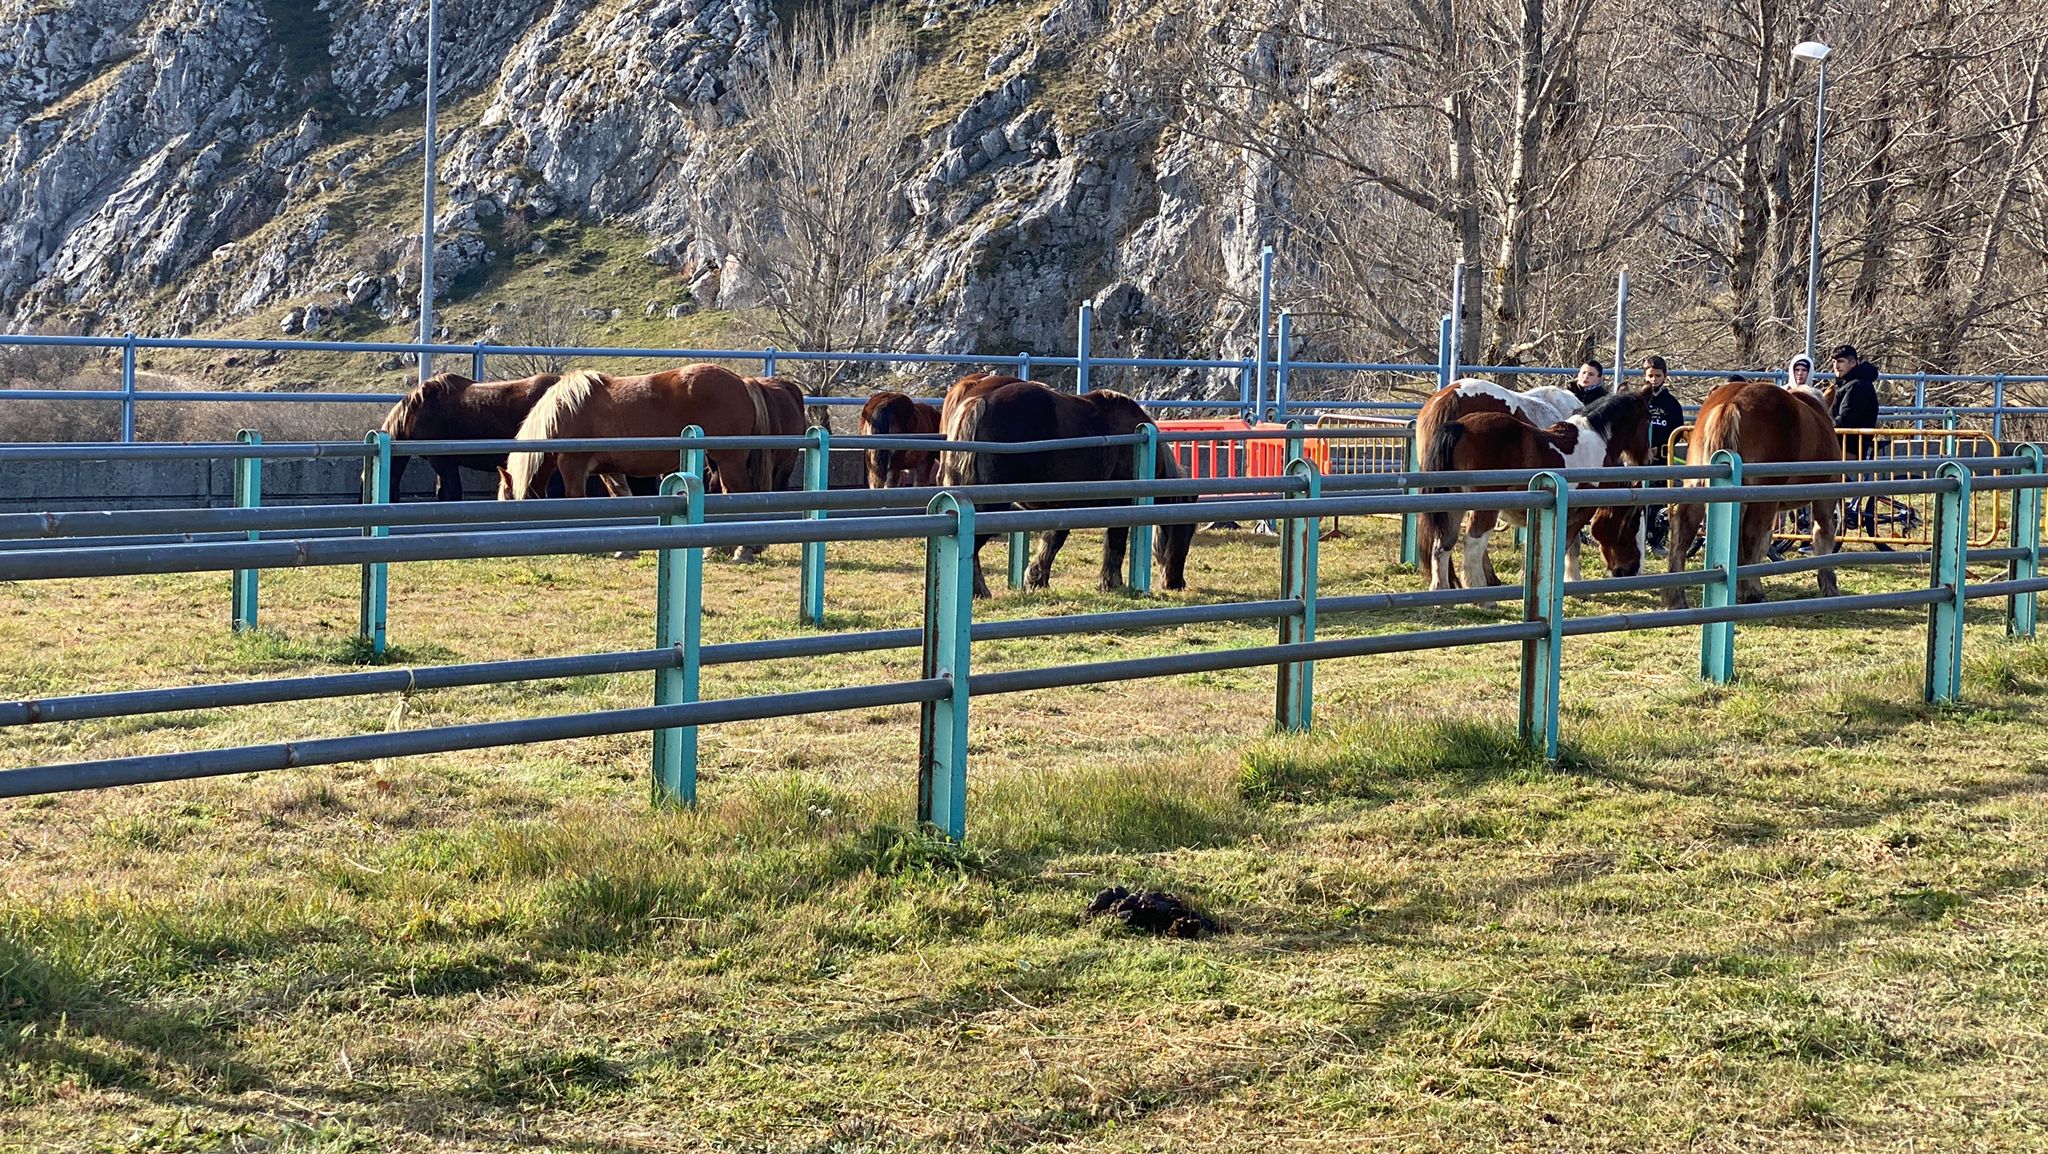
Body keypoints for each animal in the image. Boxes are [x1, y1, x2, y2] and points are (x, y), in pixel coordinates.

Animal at [937, 383, 1196, 602]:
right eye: (1184, 530)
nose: (1177, 583)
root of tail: (978, 401)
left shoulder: (1063, 506)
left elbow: (1053, 540)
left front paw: (1036, 579)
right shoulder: (1120, 505)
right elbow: (1114, 544)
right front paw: (1111, 583)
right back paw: (979, 591)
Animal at [1425, 387, 1662, 590]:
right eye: (1632, 524)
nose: (1633, 570)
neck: (1595, 441)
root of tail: (1461, 426)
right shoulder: (1582, 510)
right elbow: (1567, 544)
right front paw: (1570, 580)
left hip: (1453, 503)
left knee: (1443, 544)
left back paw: (1440, 589)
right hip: (1483, 509)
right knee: (1472, 544)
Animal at [1662, 383, 1843, 610]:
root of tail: (1732, 402)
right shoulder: (1824, 498)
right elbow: (1823, 534)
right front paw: (1829, 585)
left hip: (1697, 489)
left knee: (1682, 532)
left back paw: (1677, 599)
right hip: (1762, 501)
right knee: (1752, 537)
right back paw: (1754, 593)